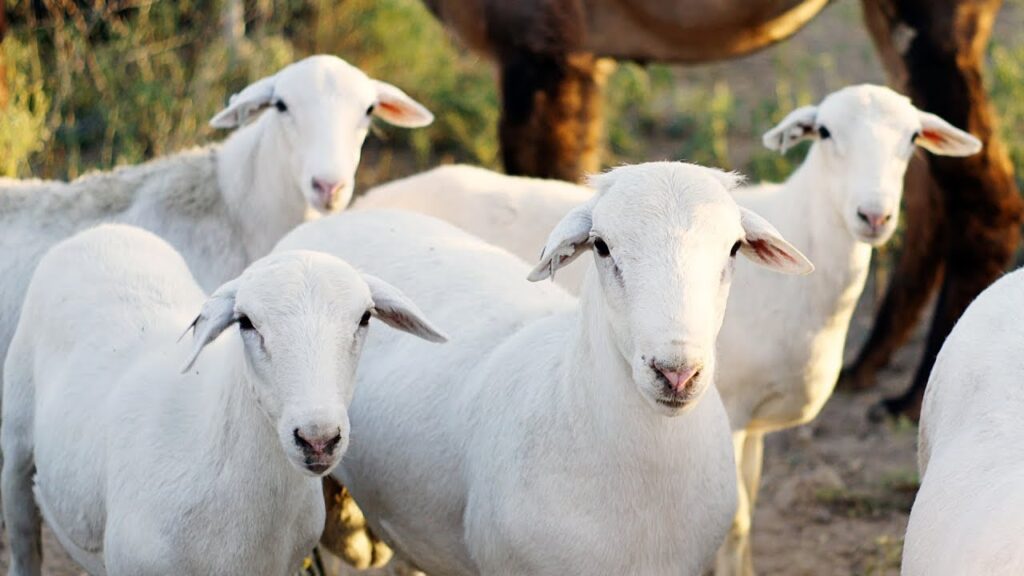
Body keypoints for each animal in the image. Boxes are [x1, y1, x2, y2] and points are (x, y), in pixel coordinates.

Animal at [0, 223, 446, 576]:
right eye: (246, 322)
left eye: (365, 317)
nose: (318, 439)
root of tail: (102, 230)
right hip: (17, 449)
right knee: (24, 544)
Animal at [352, 85, 982, 576]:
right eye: (824, 132)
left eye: (913, 140)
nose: (873, 216)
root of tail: (371, 200)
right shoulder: (735, 405)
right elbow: (740, 521)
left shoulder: (752, 423)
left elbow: (744, 512)